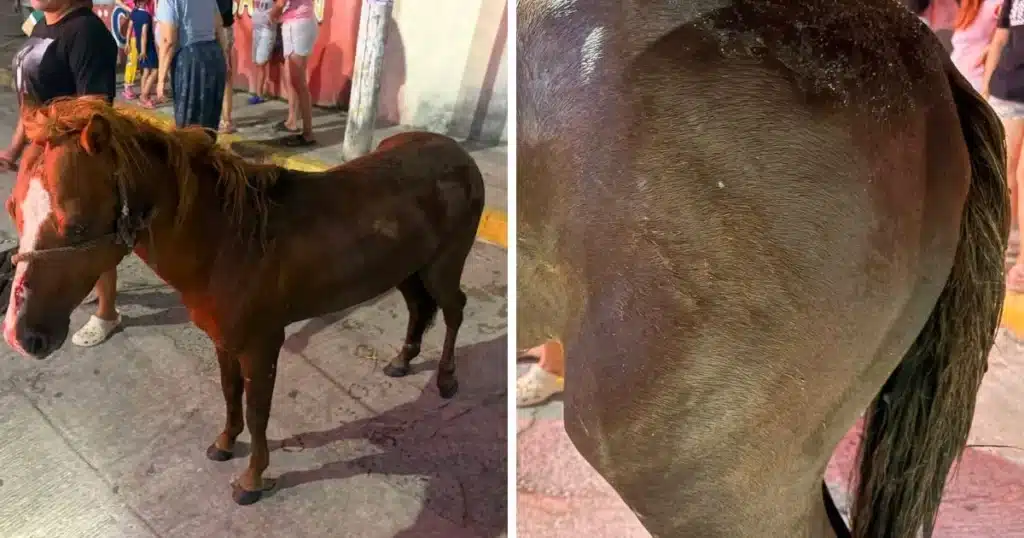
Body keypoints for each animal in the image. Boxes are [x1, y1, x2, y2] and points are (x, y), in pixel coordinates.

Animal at [2, 97, 485, 505]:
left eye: (77, 226)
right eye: (14, 210)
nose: (20, 335)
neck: (228, 242)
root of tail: (461, 157)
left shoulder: (261, 346)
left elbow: (257, 413)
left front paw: (252, 480)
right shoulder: (224, 340)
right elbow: (231, 395)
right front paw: (223, 444)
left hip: (443, 266)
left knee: (454, 308)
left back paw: (446, 380)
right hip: (408, 269)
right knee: (420, 308)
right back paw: (402, 361)